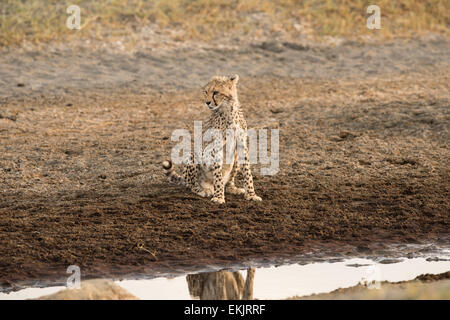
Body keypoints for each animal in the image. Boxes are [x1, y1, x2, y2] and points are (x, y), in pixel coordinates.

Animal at [163, 74, 262, 204]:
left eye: (215, 92)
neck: (228, 109)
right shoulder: (217, 145)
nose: (207, 102)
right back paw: (203, 190)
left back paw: (232, 188)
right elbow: (217, 173)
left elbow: (247, 171)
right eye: (205, 92)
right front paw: (219, 197)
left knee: (228, 181)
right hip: (192, 156)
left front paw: (251, 194)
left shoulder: (241, 143)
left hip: (235, 158)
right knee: (191, 184)